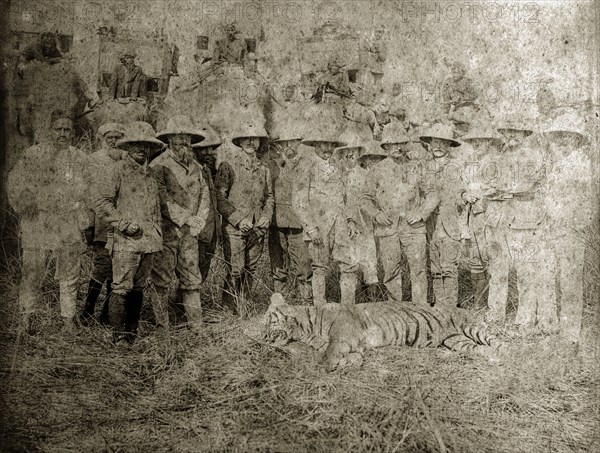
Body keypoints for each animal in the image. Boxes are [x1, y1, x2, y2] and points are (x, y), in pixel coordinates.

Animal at [262, 294, 502, 370]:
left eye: (268, 320)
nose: (262, 337)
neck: (306, 330)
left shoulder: (341, 337)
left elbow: (329, 354)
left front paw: (322, 367)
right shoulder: (353, 346)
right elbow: (353, 358)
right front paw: (348, 363)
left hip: (470, 327)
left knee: (498, 342)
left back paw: (504, 354)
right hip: (457, 341)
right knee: (477, 350)